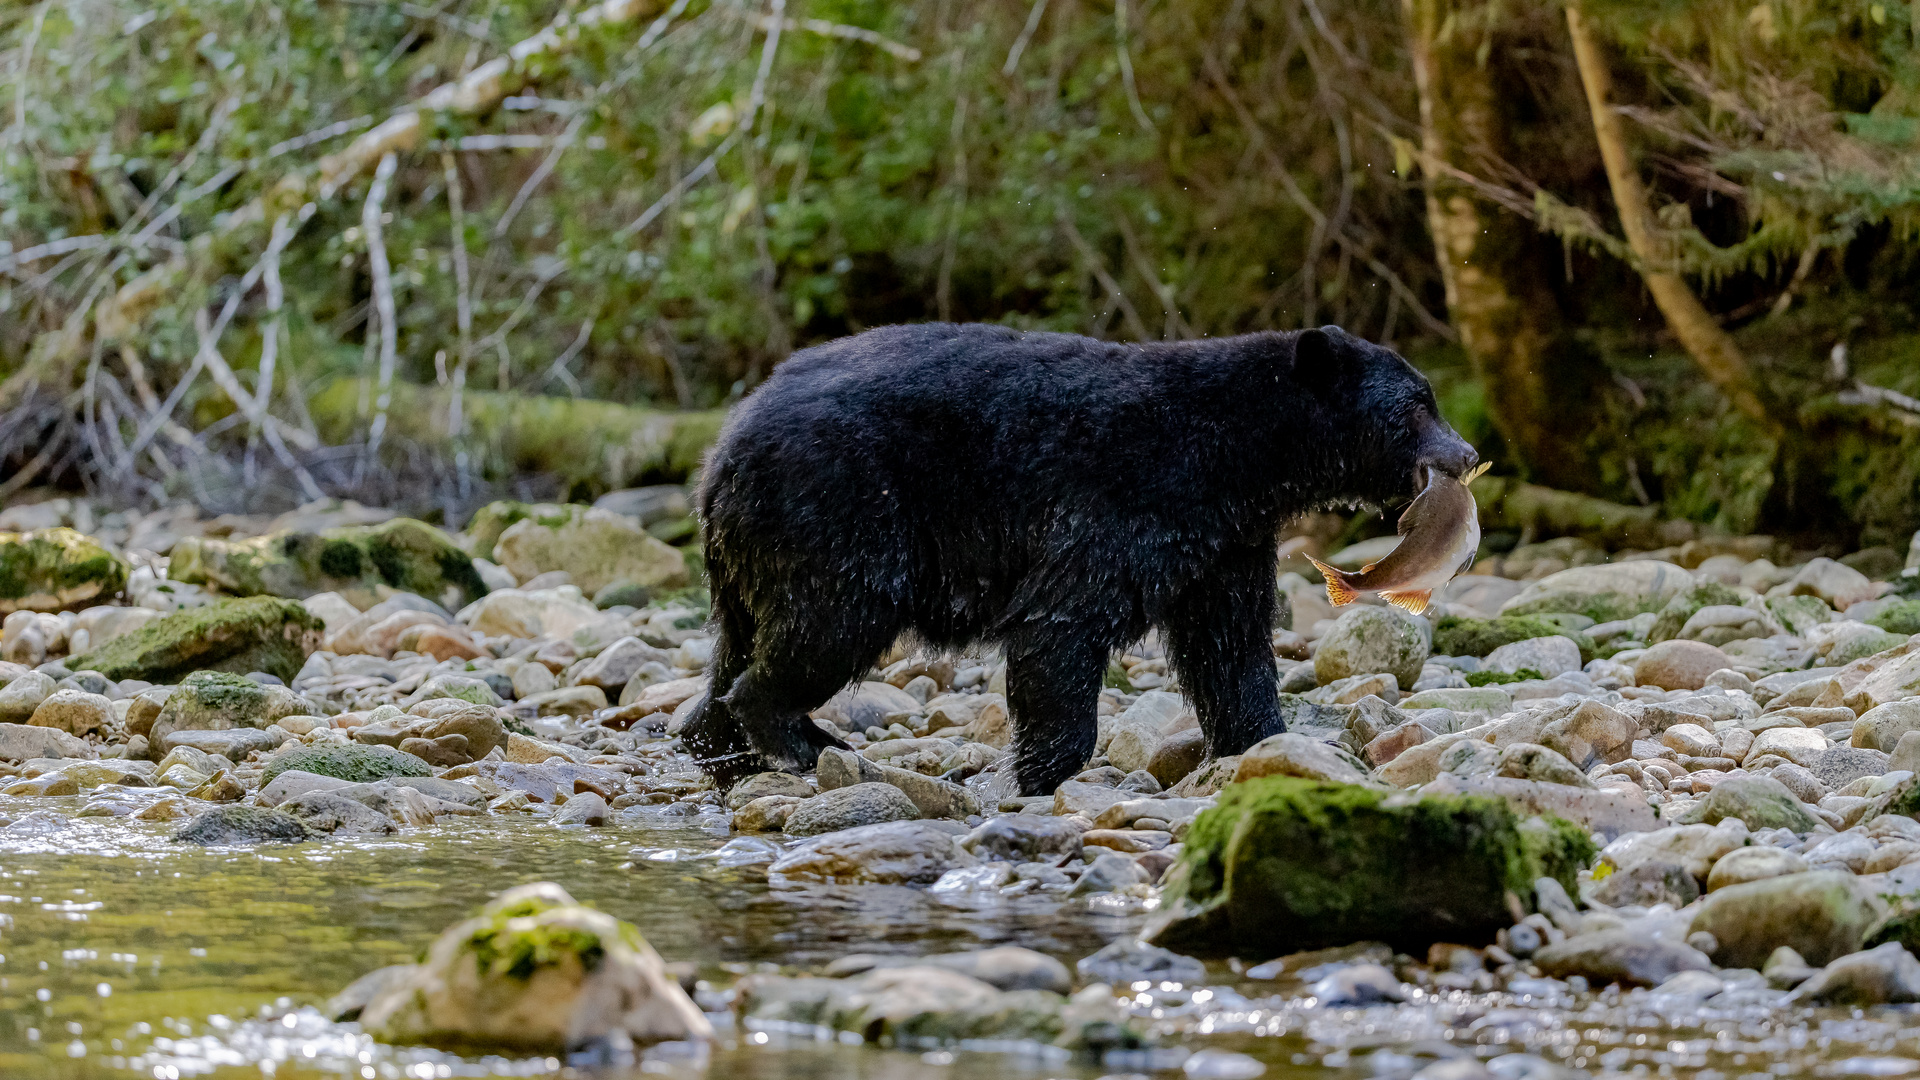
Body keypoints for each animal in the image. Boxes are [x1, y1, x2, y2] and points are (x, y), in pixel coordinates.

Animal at [683, 319, 1474, 791]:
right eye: (1416, 404)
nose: (1466, 455)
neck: (1237, 454)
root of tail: (723, 449)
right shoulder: (1123, 497)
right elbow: (1063, 625)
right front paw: (1043, 773)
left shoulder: (1223, 539)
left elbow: (1229, 644)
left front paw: (1261, 743)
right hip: (839, 514)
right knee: (827, 626)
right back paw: (805, 743)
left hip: (752, 557)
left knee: (735, 652)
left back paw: (715, 746)